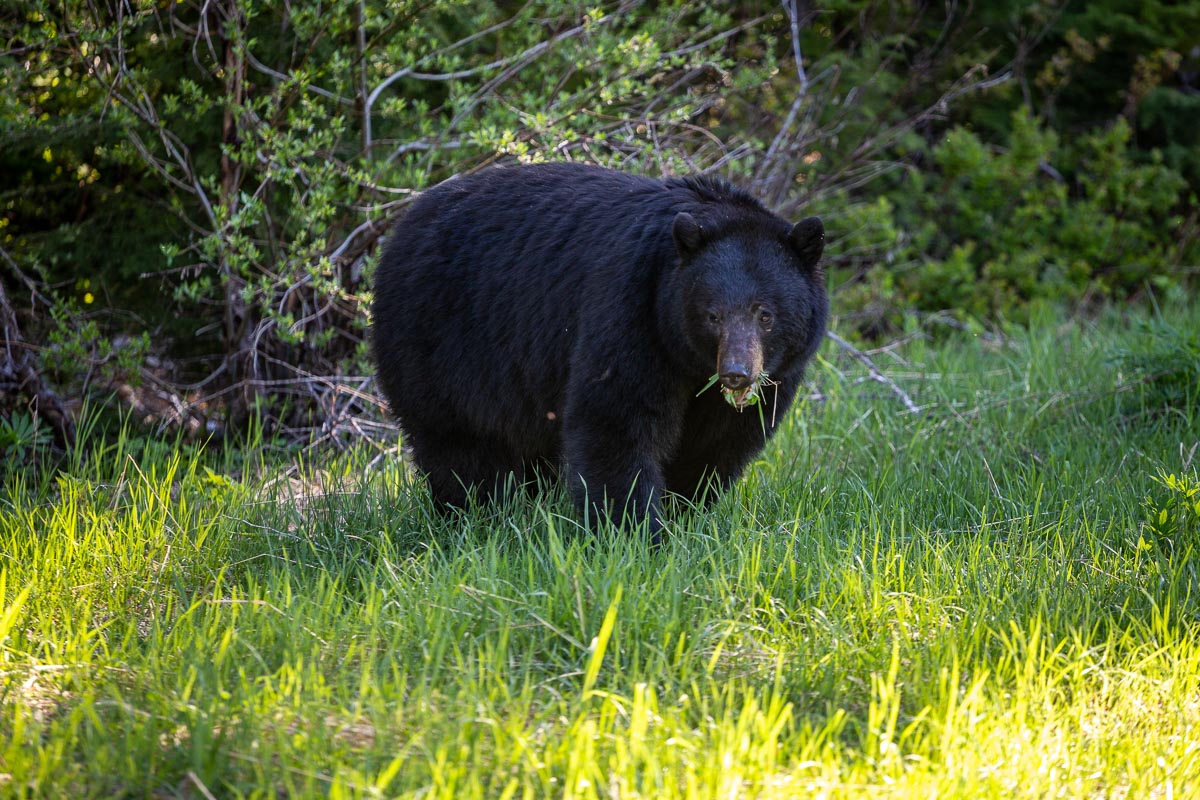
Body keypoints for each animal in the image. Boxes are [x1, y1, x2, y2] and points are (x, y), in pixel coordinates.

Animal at [371, 162, 828, 538]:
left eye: (765, 314)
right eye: (713, 315)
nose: (736, 372)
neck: (688, 361)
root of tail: (401, 228)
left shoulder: (764, 379)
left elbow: (716, 442)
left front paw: (682, 515)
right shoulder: (631, 308)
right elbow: (616, 420)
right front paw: (635, 534)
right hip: (436, 342)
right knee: (457, 444)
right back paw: (477, 515)